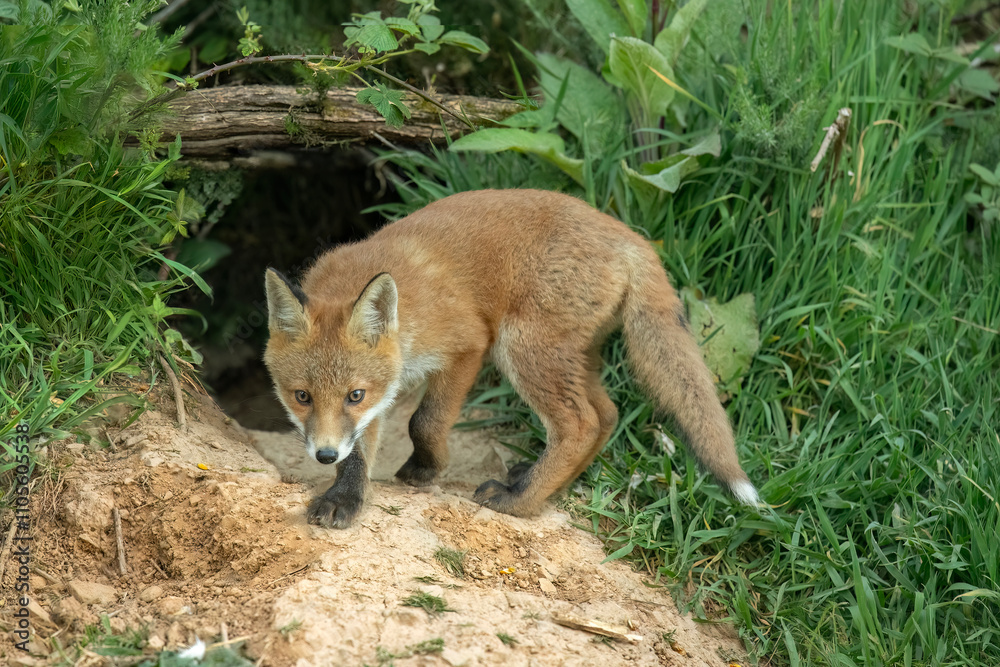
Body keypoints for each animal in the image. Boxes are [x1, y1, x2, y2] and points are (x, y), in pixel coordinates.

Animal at [263, 189, 758, 529]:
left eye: (354, 395)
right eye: (302, 396)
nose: (323, 454)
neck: (409, 315)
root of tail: (630, 236)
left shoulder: (468, 345)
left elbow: (425, 422)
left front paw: (425, 469)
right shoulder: (382, 393)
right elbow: (359, 453)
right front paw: (345, 497)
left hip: (522, 348)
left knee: (581, 424)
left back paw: (519, 501)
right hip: (572, 357)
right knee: (608, 414)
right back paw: (545, 486)